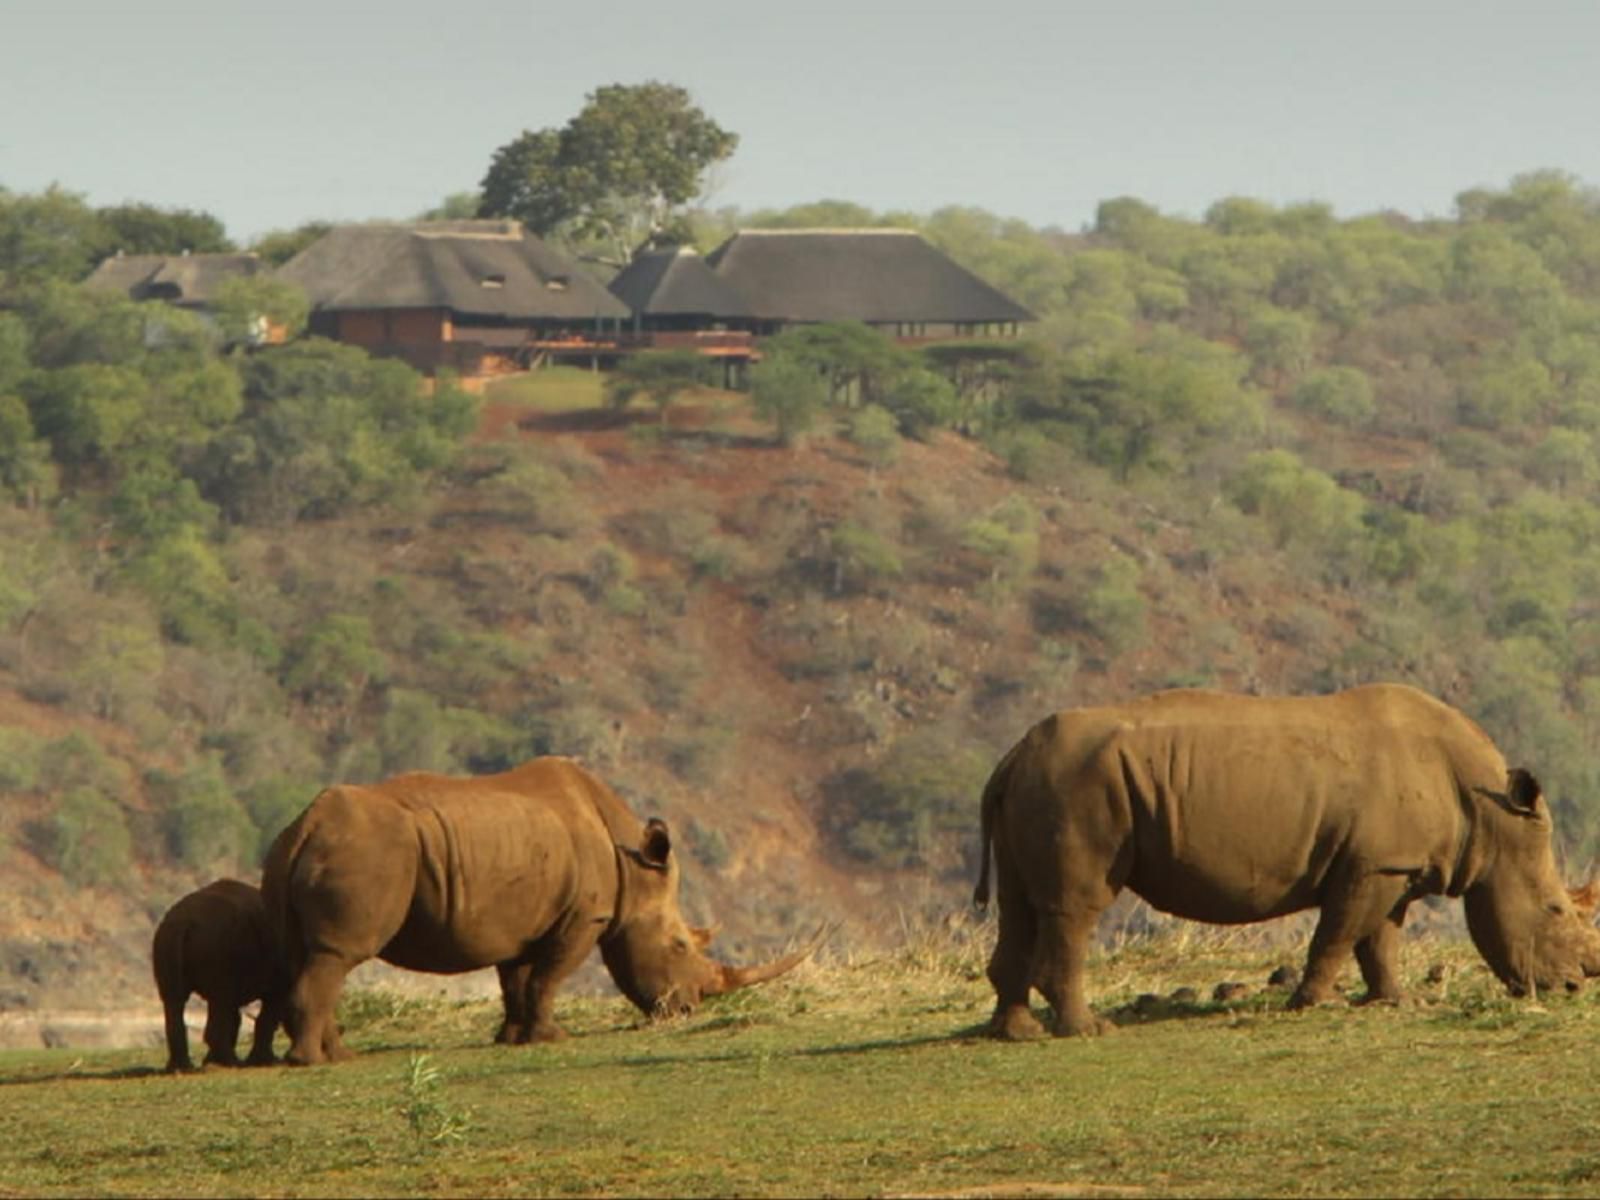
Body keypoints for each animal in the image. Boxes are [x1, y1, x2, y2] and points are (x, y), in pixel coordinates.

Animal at [152, 883, 291, 1068]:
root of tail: (184, 921)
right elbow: (268, 1012)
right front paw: (268, 1062)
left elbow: (234, 1016)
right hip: (216, 940)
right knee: (219, 999)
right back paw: (230, 1064)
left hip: (166, 938)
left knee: (176, 1000)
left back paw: (182, 1068)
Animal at [966, 684, 1600, 1043]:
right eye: (1554, 910)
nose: (1572, 986)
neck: (1491, 815)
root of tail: (1011, 757)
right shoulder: (1375, 866)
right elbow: (1341, 933)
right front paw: (1319, 1002)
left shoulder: (1392, 866)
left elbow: (1380, 940)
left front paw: (1397, 1001)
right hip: (1079, 787)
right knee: (1077, 905)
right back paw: (1088, 1031)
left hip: (1045, 784)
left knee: (1020, 905)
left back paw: (1018, 1035)